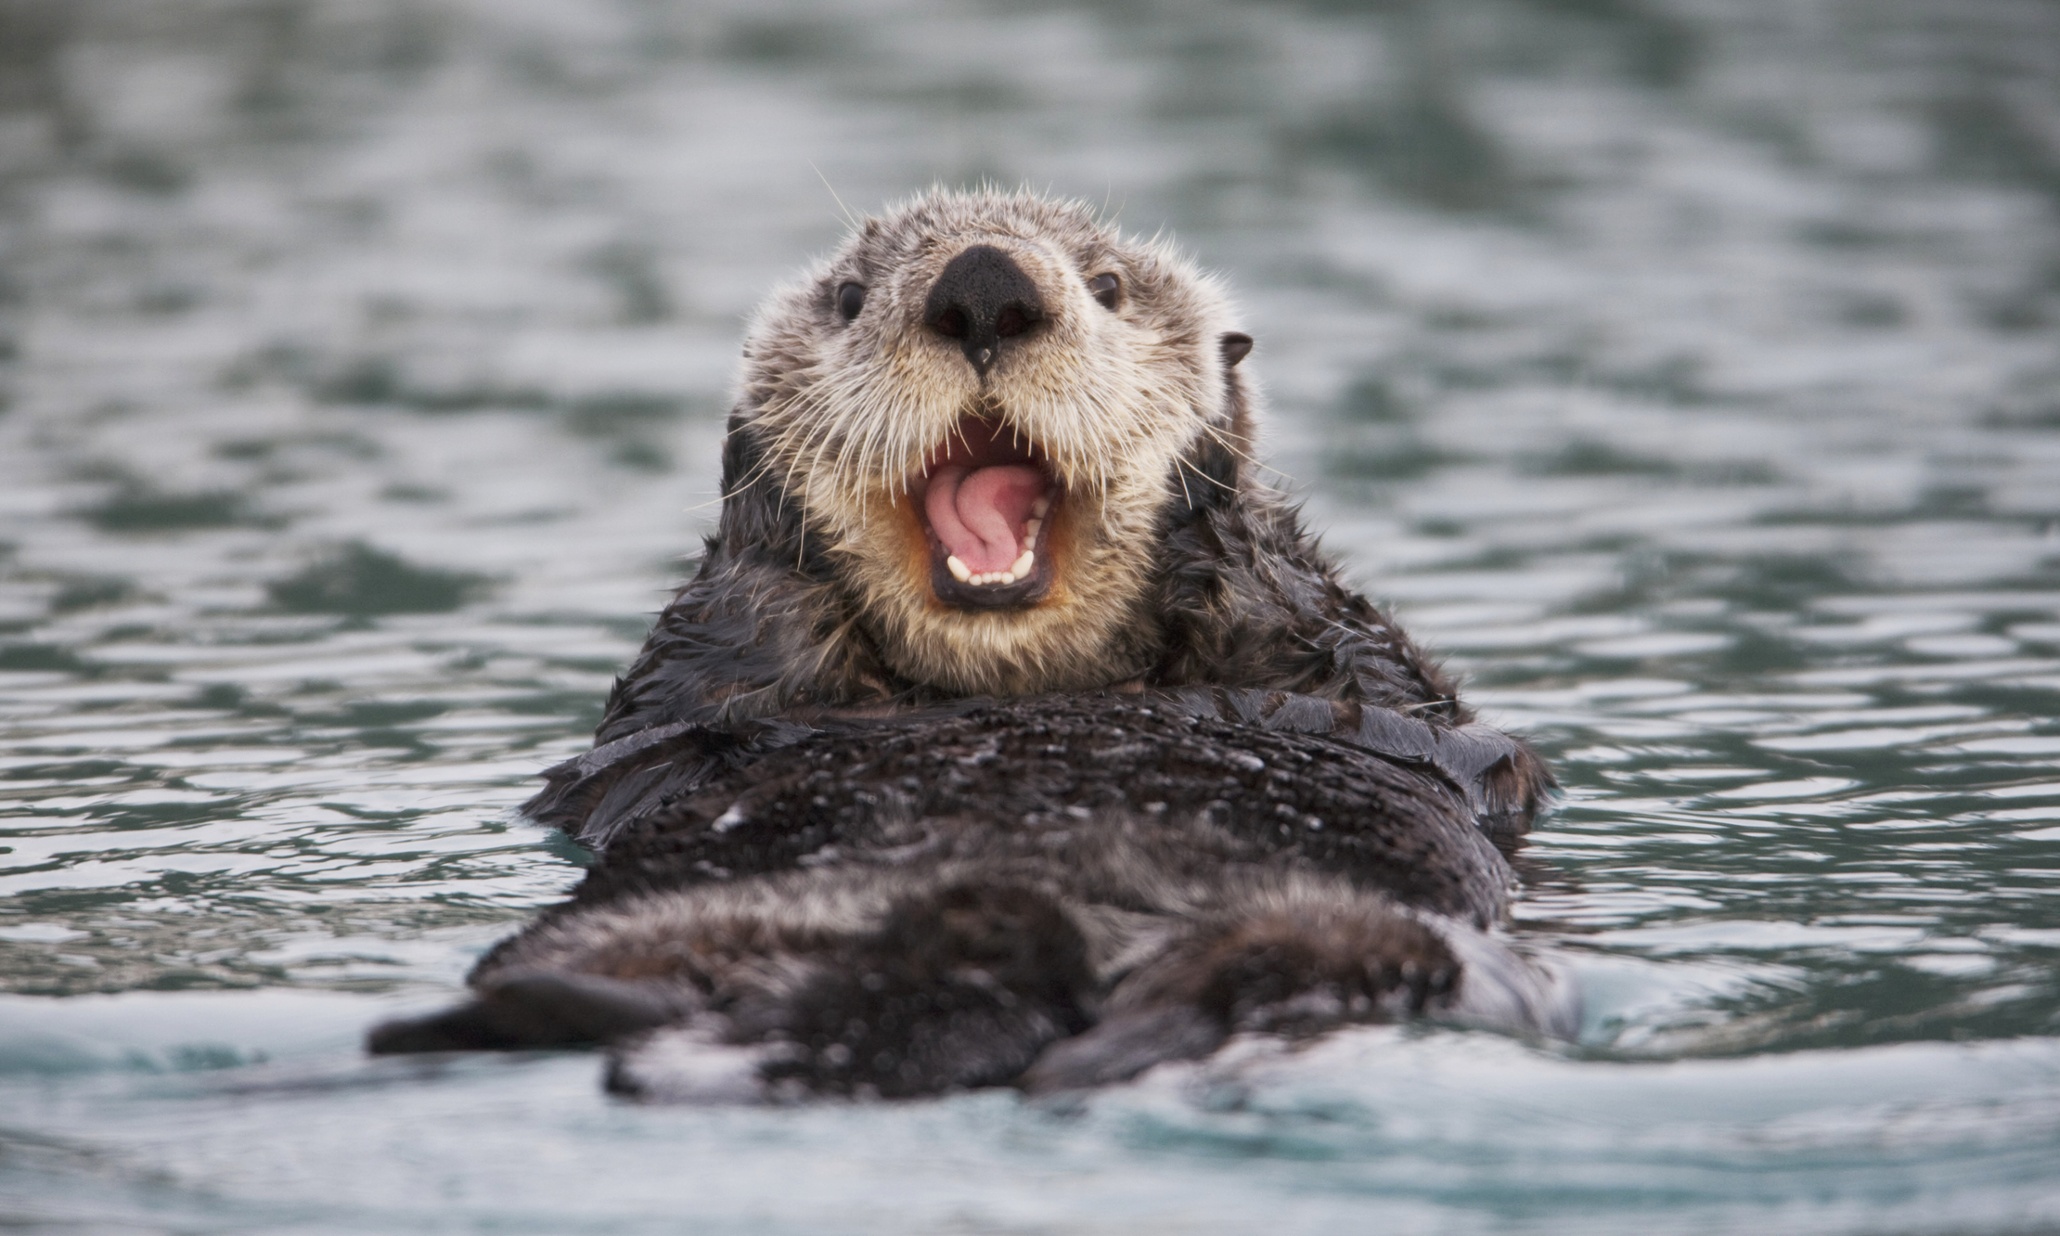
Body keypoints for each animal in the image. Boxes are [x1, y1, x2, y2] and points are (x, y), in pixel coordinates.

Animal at [370, 188, 1565, 1095]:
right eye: (851, 298)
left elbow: (1391, 702)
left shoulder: (1372, 677)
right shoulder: (671, 708)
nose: (984, 285)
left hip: (1363, 935)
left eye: (1108, 287)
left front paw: (1214, 515)